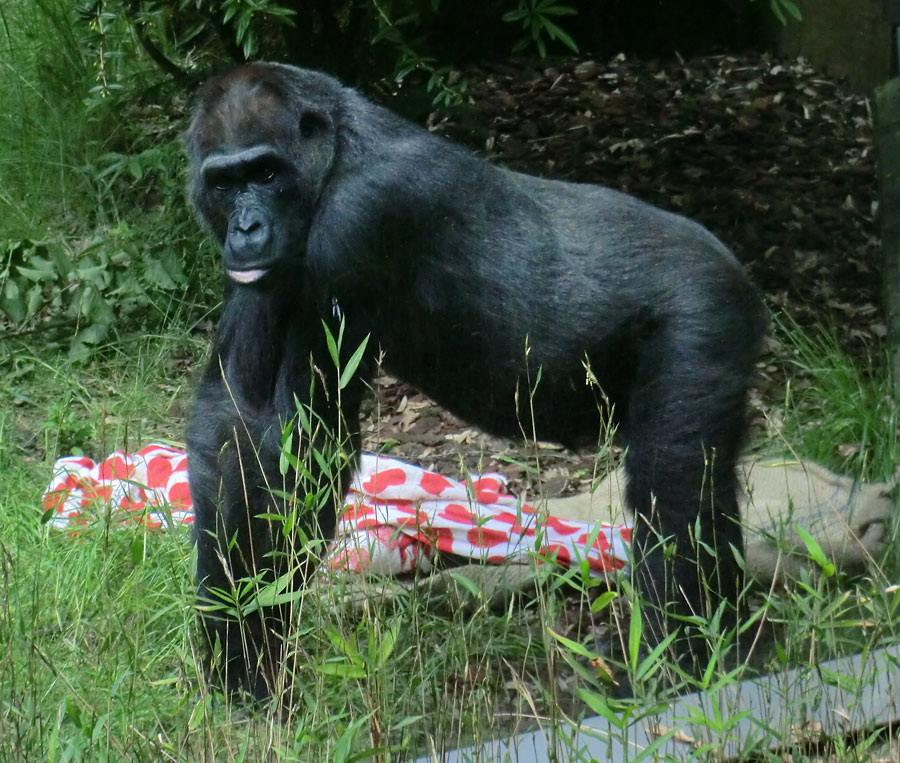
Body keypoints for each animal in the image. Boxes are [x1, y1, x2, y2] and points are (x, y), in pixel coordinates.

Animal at [185, 62, 768, 700]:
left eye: (267, 173)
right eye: (224, 183)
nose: (245, 229)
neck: (334, 151)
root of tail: (737, 268)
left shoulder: (361, 219)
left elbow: (305, 442)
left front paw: (250, 650)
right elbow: (242, 422)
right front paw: (238, 642)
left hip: (706, 312)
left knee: (678, 488)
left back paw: (684, 658)